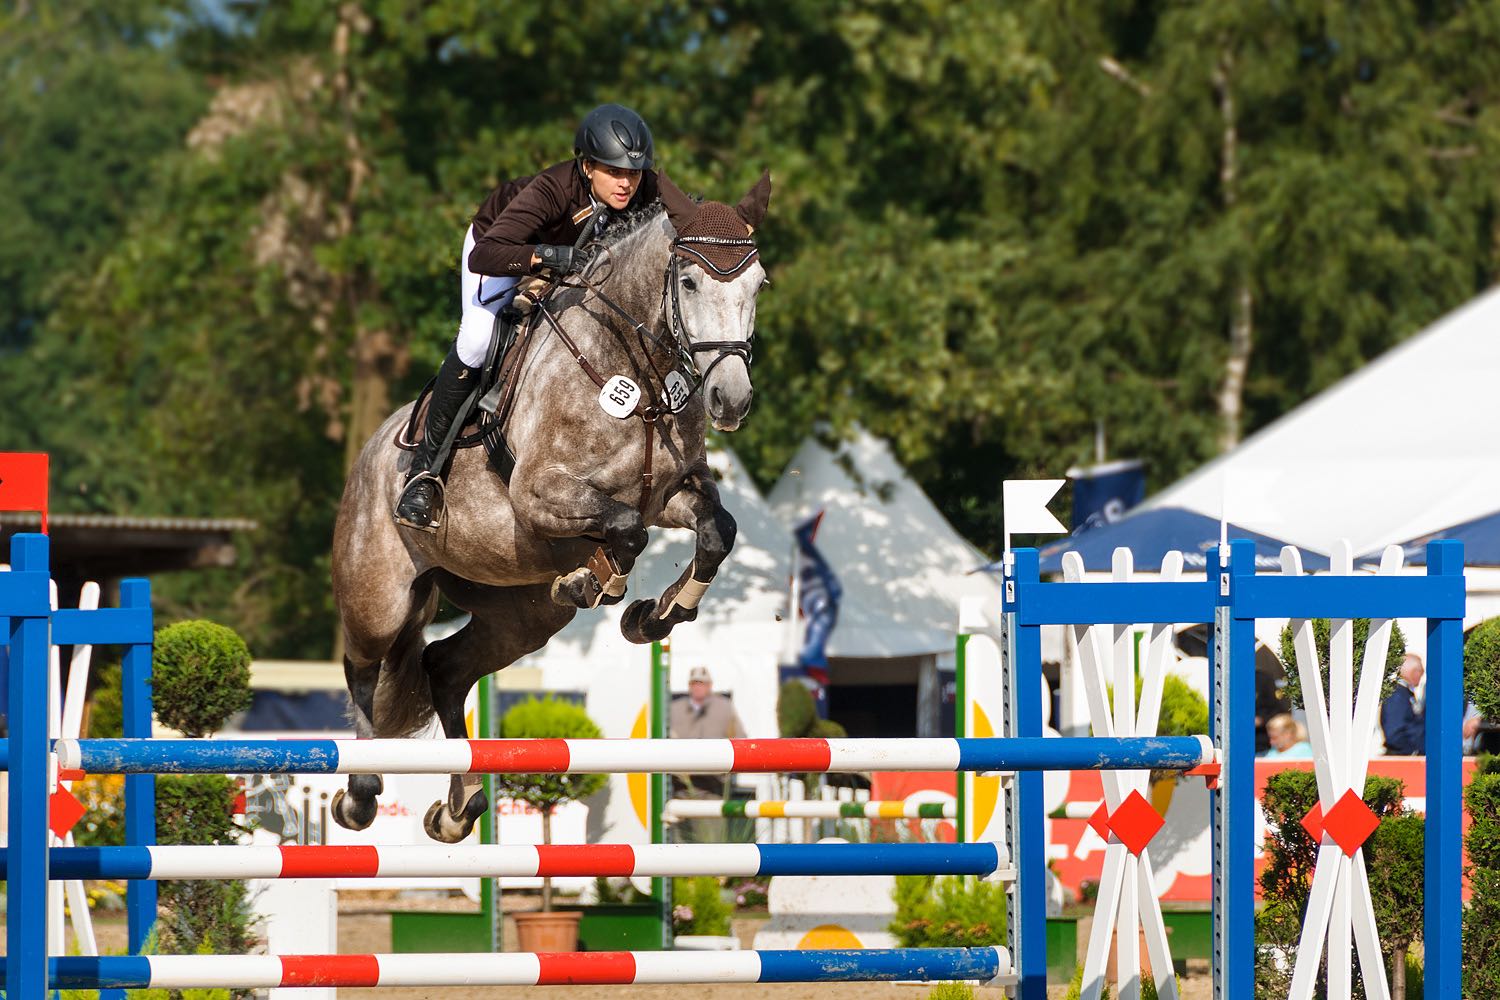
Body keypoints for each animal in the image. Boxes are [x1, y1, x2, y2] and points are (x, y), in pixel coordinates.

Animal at [330, 173, 774, 845]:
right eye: (691, 282)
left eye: (758, 285)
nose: (731, 400)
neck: (635, 372)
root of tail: (369, 455)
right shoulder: (540, 494)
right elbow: (626, 531)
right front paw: (597, 581)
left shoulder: (670, 494)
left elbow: (715, 531)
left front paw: (656, 615)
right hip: (379, 597)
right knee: (363, 666)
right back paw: (360, 791)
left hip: (520, 614)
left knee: (444, 666)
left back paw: (458, 806)